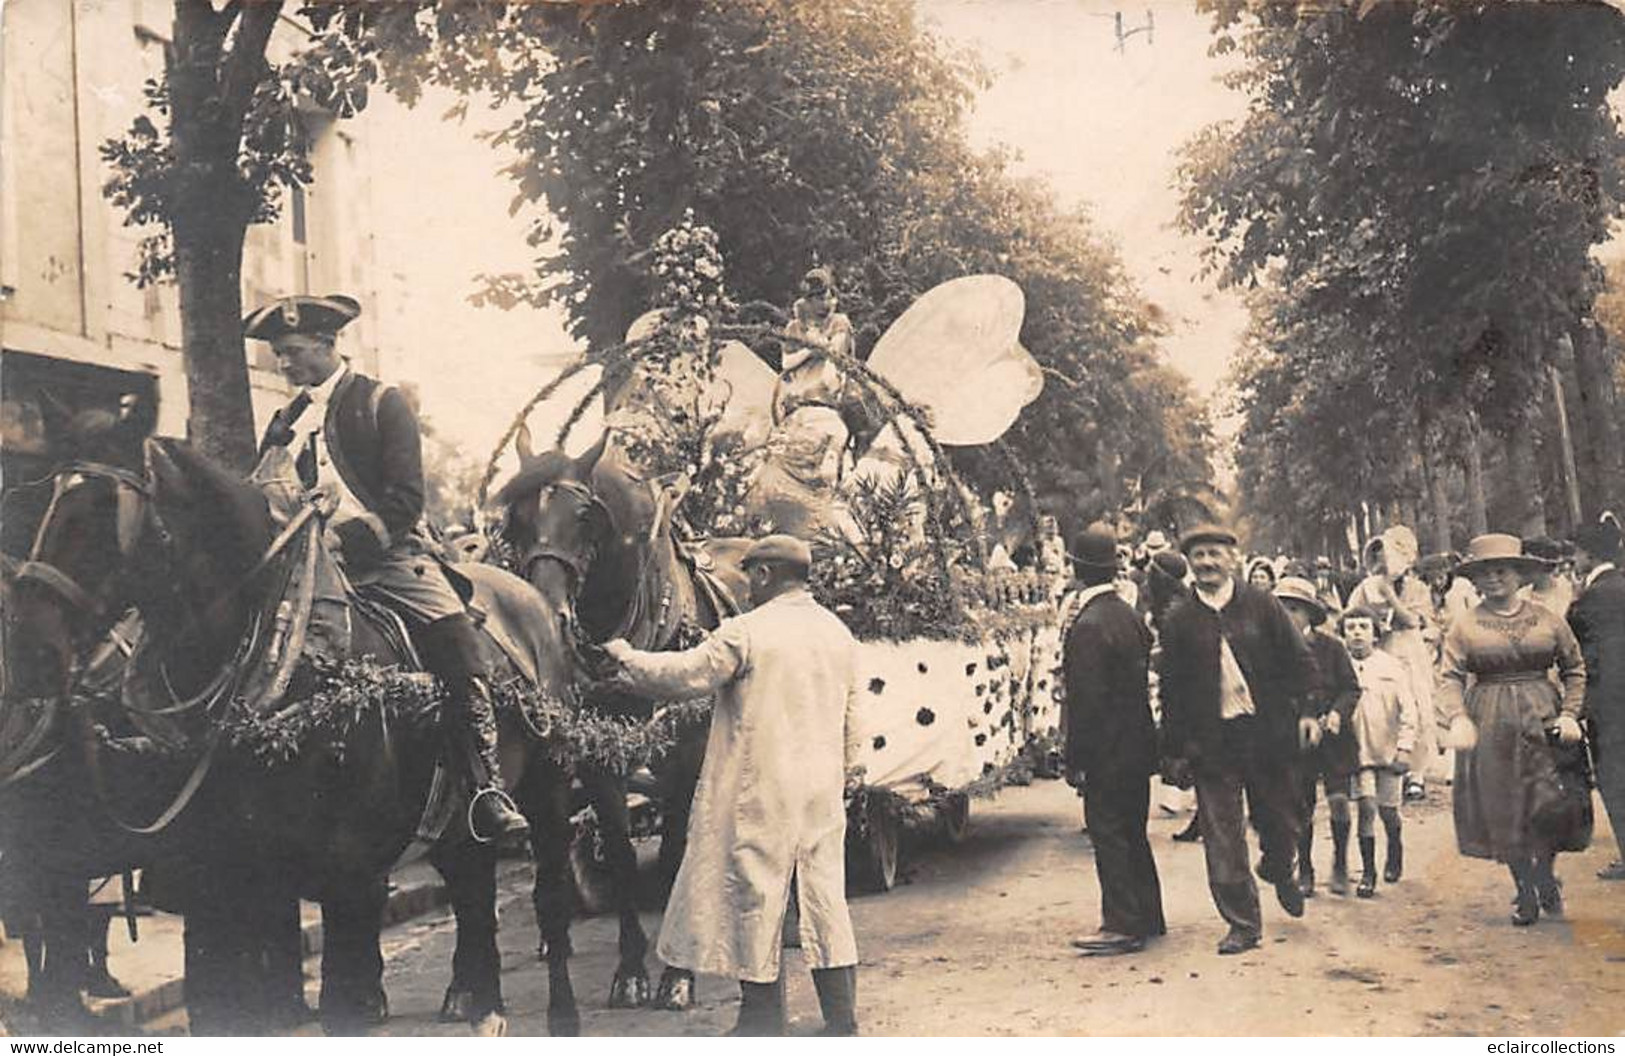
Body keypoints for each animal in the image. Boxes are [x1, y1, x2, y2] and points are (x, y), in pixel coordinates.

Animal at [4, 432, 591, 1033]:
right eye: (43, 508)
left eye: (101, 519)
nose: (27, 652)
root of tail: (532, 598)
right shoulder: (235, 880)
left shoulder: (348, 878)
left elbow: (339, 1006)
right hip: (450, 825)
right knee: (474, 892)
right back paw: (482, 1005)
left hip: (548, 793)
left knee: (548, 896)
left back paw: (560, 1013)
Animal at [494, 432, 754, 1007]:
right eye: (514, 521)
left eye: (585, 517)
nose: (545, 613)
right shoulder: (597, 759)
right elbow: (617, 850)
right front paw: (631, 969)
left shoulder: (686, 755)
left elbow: (678, 845)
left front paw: (677, 976)